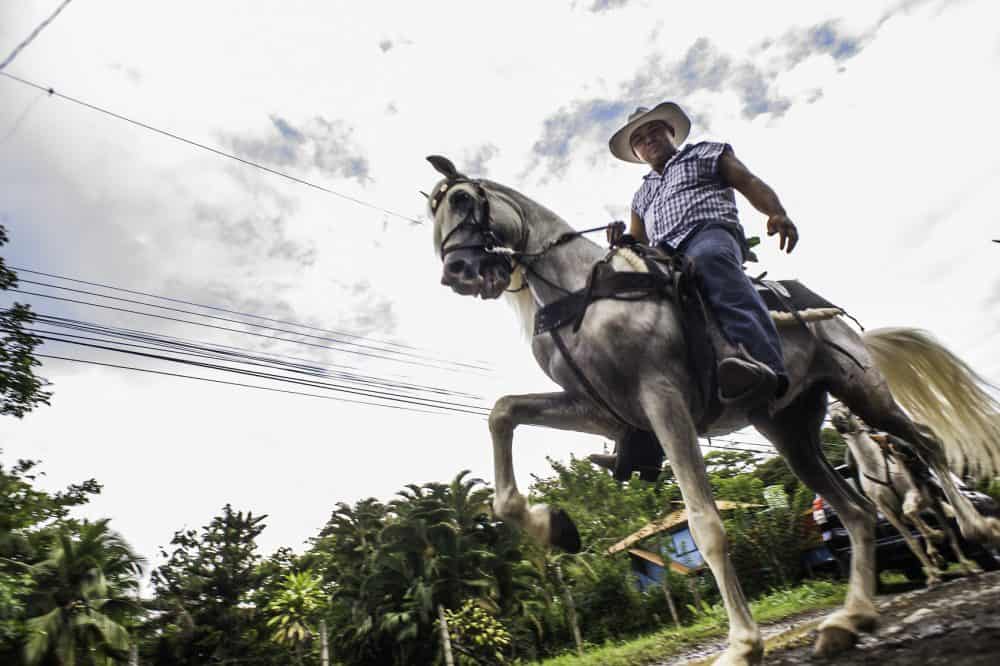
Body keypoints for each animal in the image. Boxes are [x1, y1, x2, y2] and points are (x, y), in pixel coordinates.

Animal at [426, 157, 1000, 664]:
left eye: (461, 200)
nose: (457, 271)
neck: (583, 293)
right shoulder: (601, 409)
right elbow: (502, 415)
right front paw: (553, 526)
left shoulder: (663, 400)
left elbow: (705, 525)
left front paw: (743, 645)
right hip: (790, 430)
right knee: (858, 512)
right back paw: (850, 618)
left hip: (862, 388)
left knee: (924, 440)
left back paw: (977, 529)